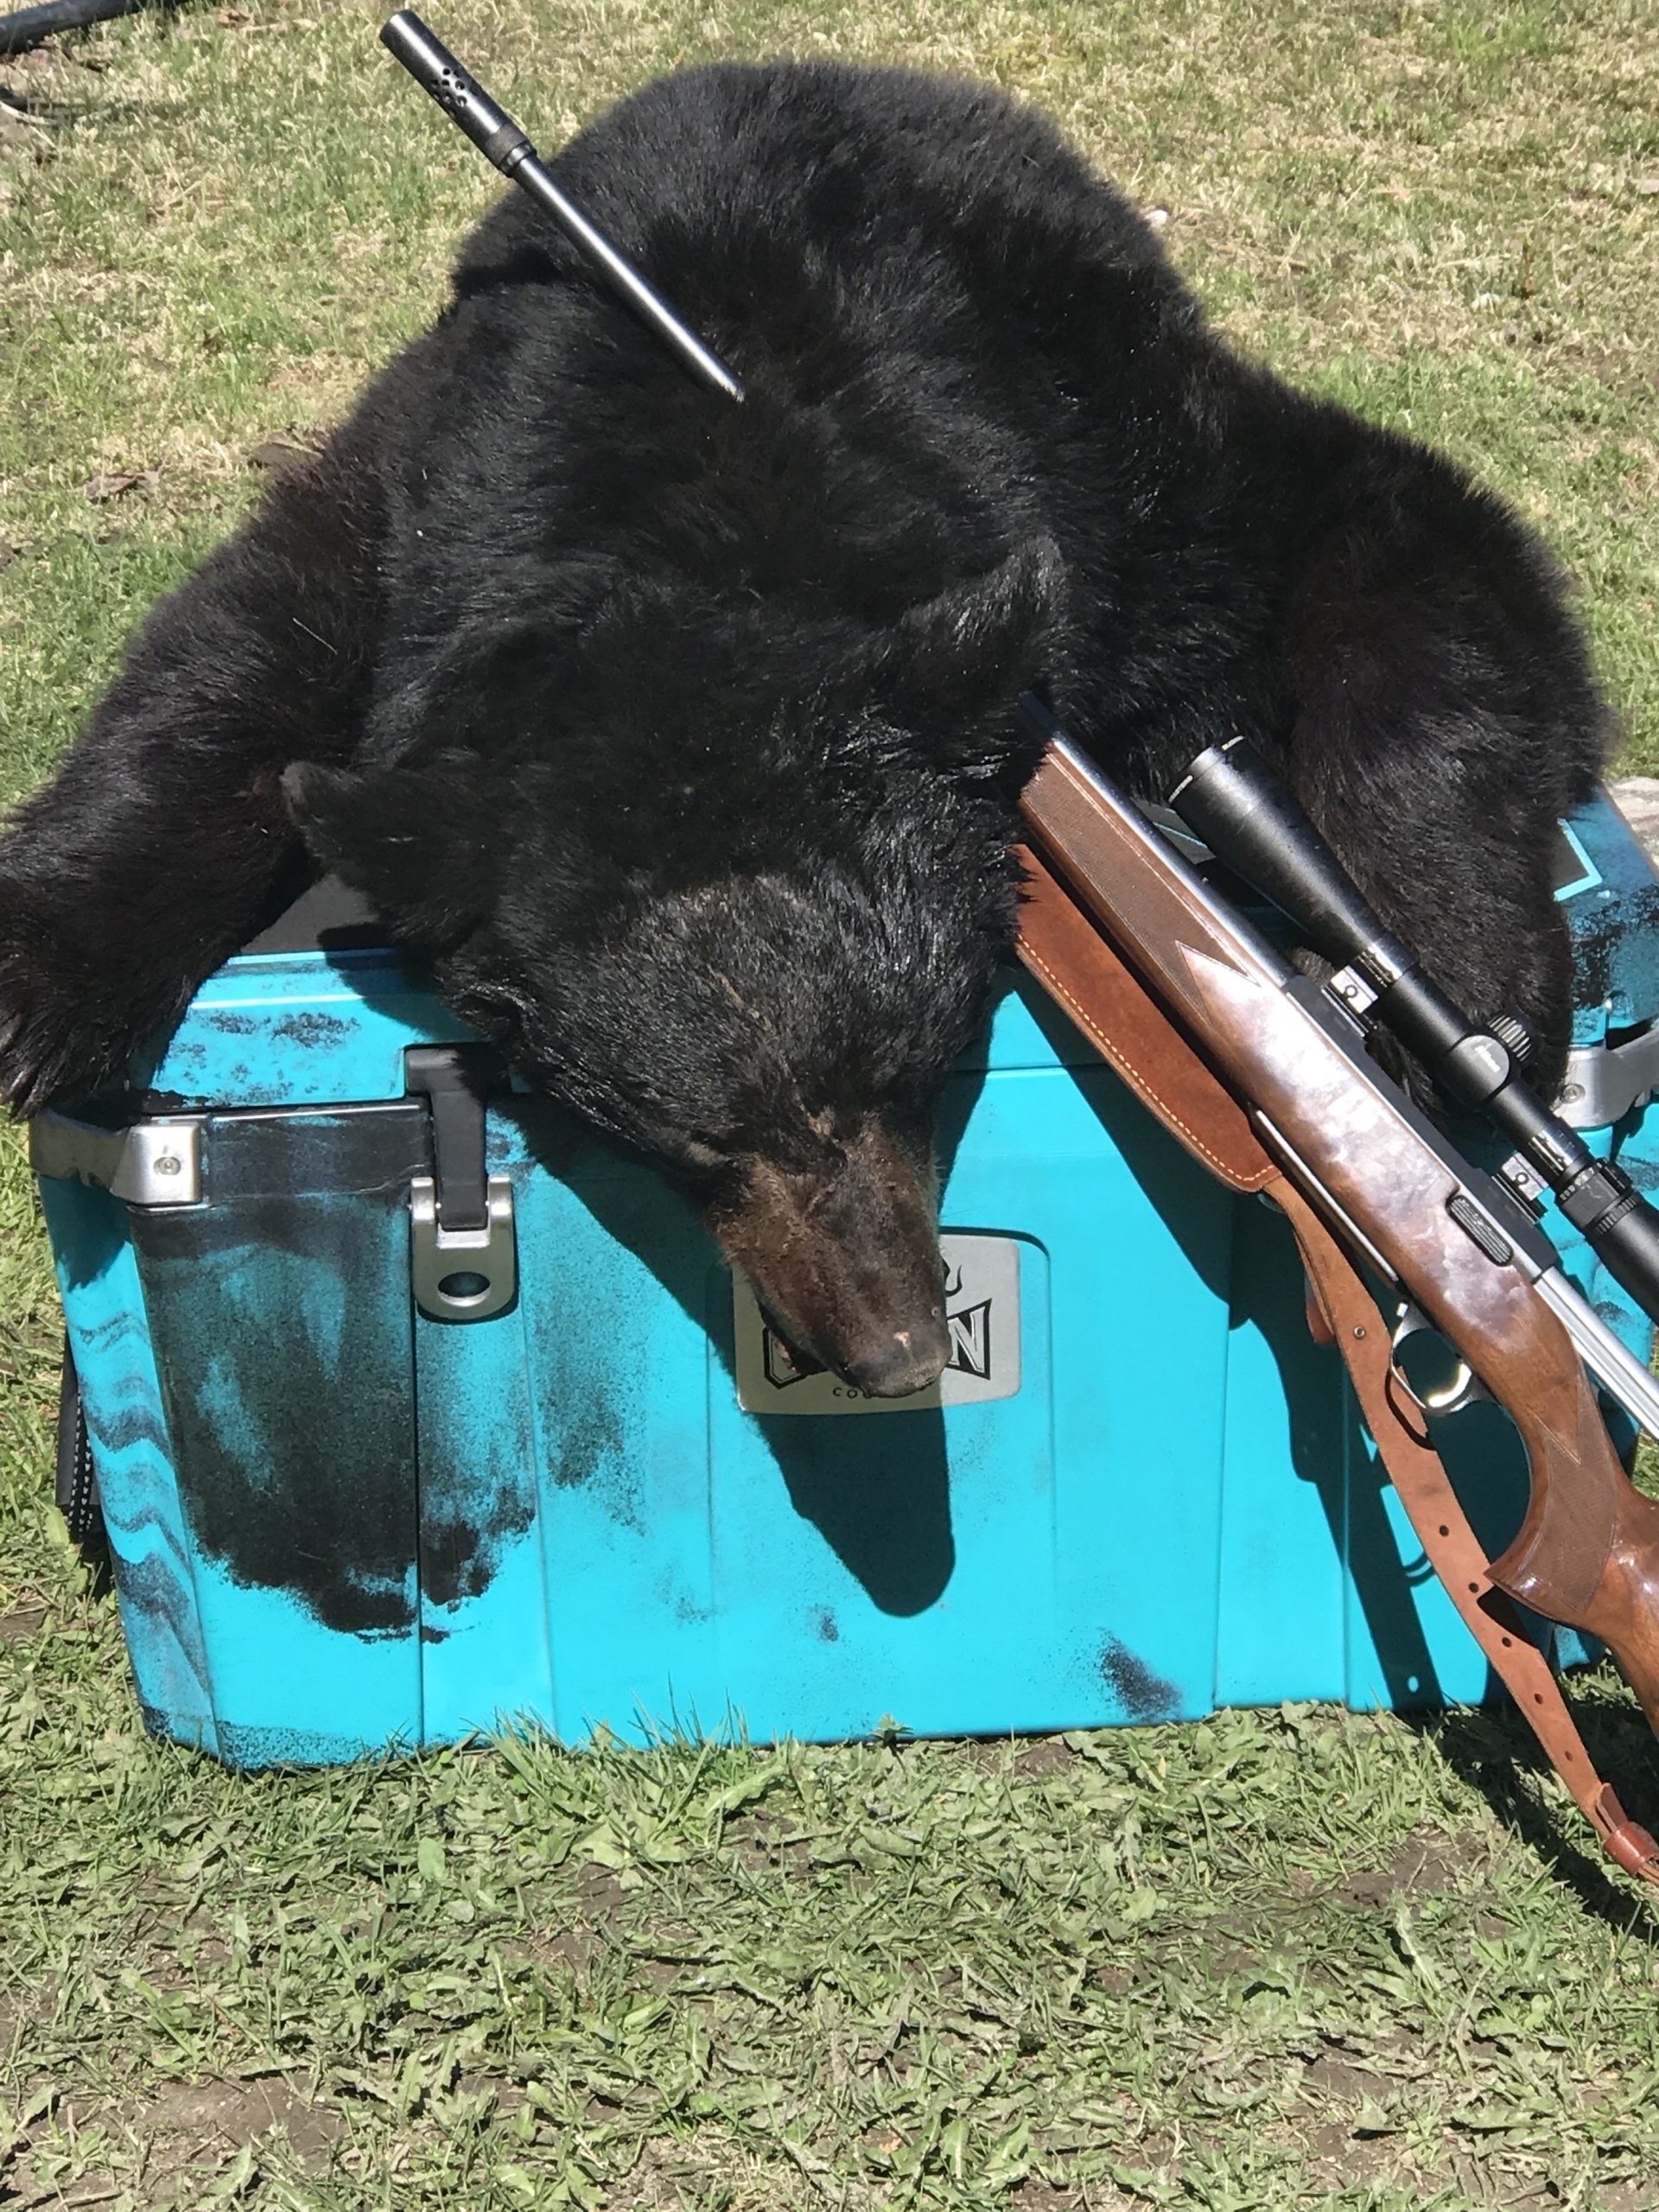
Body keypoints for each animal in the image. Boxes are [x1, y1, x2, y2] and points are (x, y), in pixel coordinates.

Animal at [0, 58, 1611, 1399]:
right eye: (689, 1137)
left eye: (915, 1064)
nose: (897, 1352)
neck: (716, 496)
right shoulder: (425, 486)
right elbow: (238, 654)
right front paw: (35, 994)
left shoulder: (1141, 476)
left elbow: (1412, 547)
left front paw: (1465, 1003)